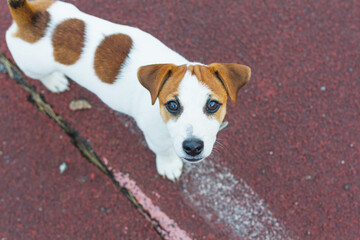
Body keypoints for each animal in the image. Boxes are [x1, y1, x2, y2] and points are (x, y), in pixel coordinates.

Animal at [7, 0, 252, 180]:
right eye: (173, 105)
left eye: (212, 105)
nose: (193, 147)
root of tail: (30, 17)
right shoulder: (155, 137)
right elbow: (164, 151)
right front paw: (169, 165)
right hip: (33, 67)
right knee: (40, 75)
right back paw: (54, 81)